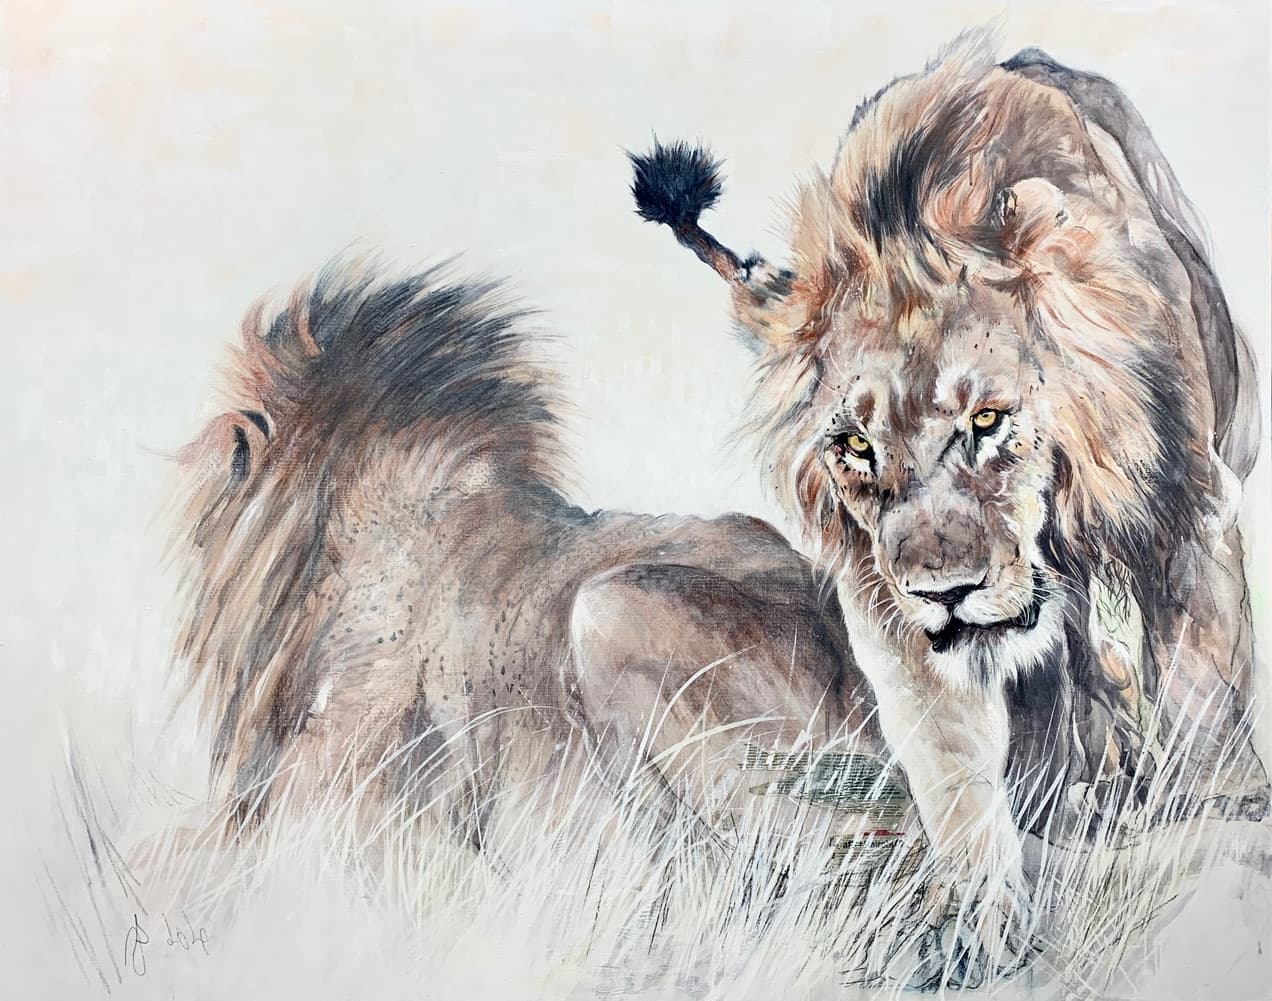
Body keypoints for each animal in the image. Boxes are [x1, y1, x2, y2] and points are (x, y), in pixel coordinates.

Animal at [628, 34, 1268, 987]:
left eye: (988, 420)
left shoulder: (1188, 508)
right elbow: (947, 755)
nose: (946, 592)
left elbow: (1204, 684)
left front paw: (1222, 805)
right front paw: (974, 912)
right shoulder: (880, 585)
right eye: (855, 445)